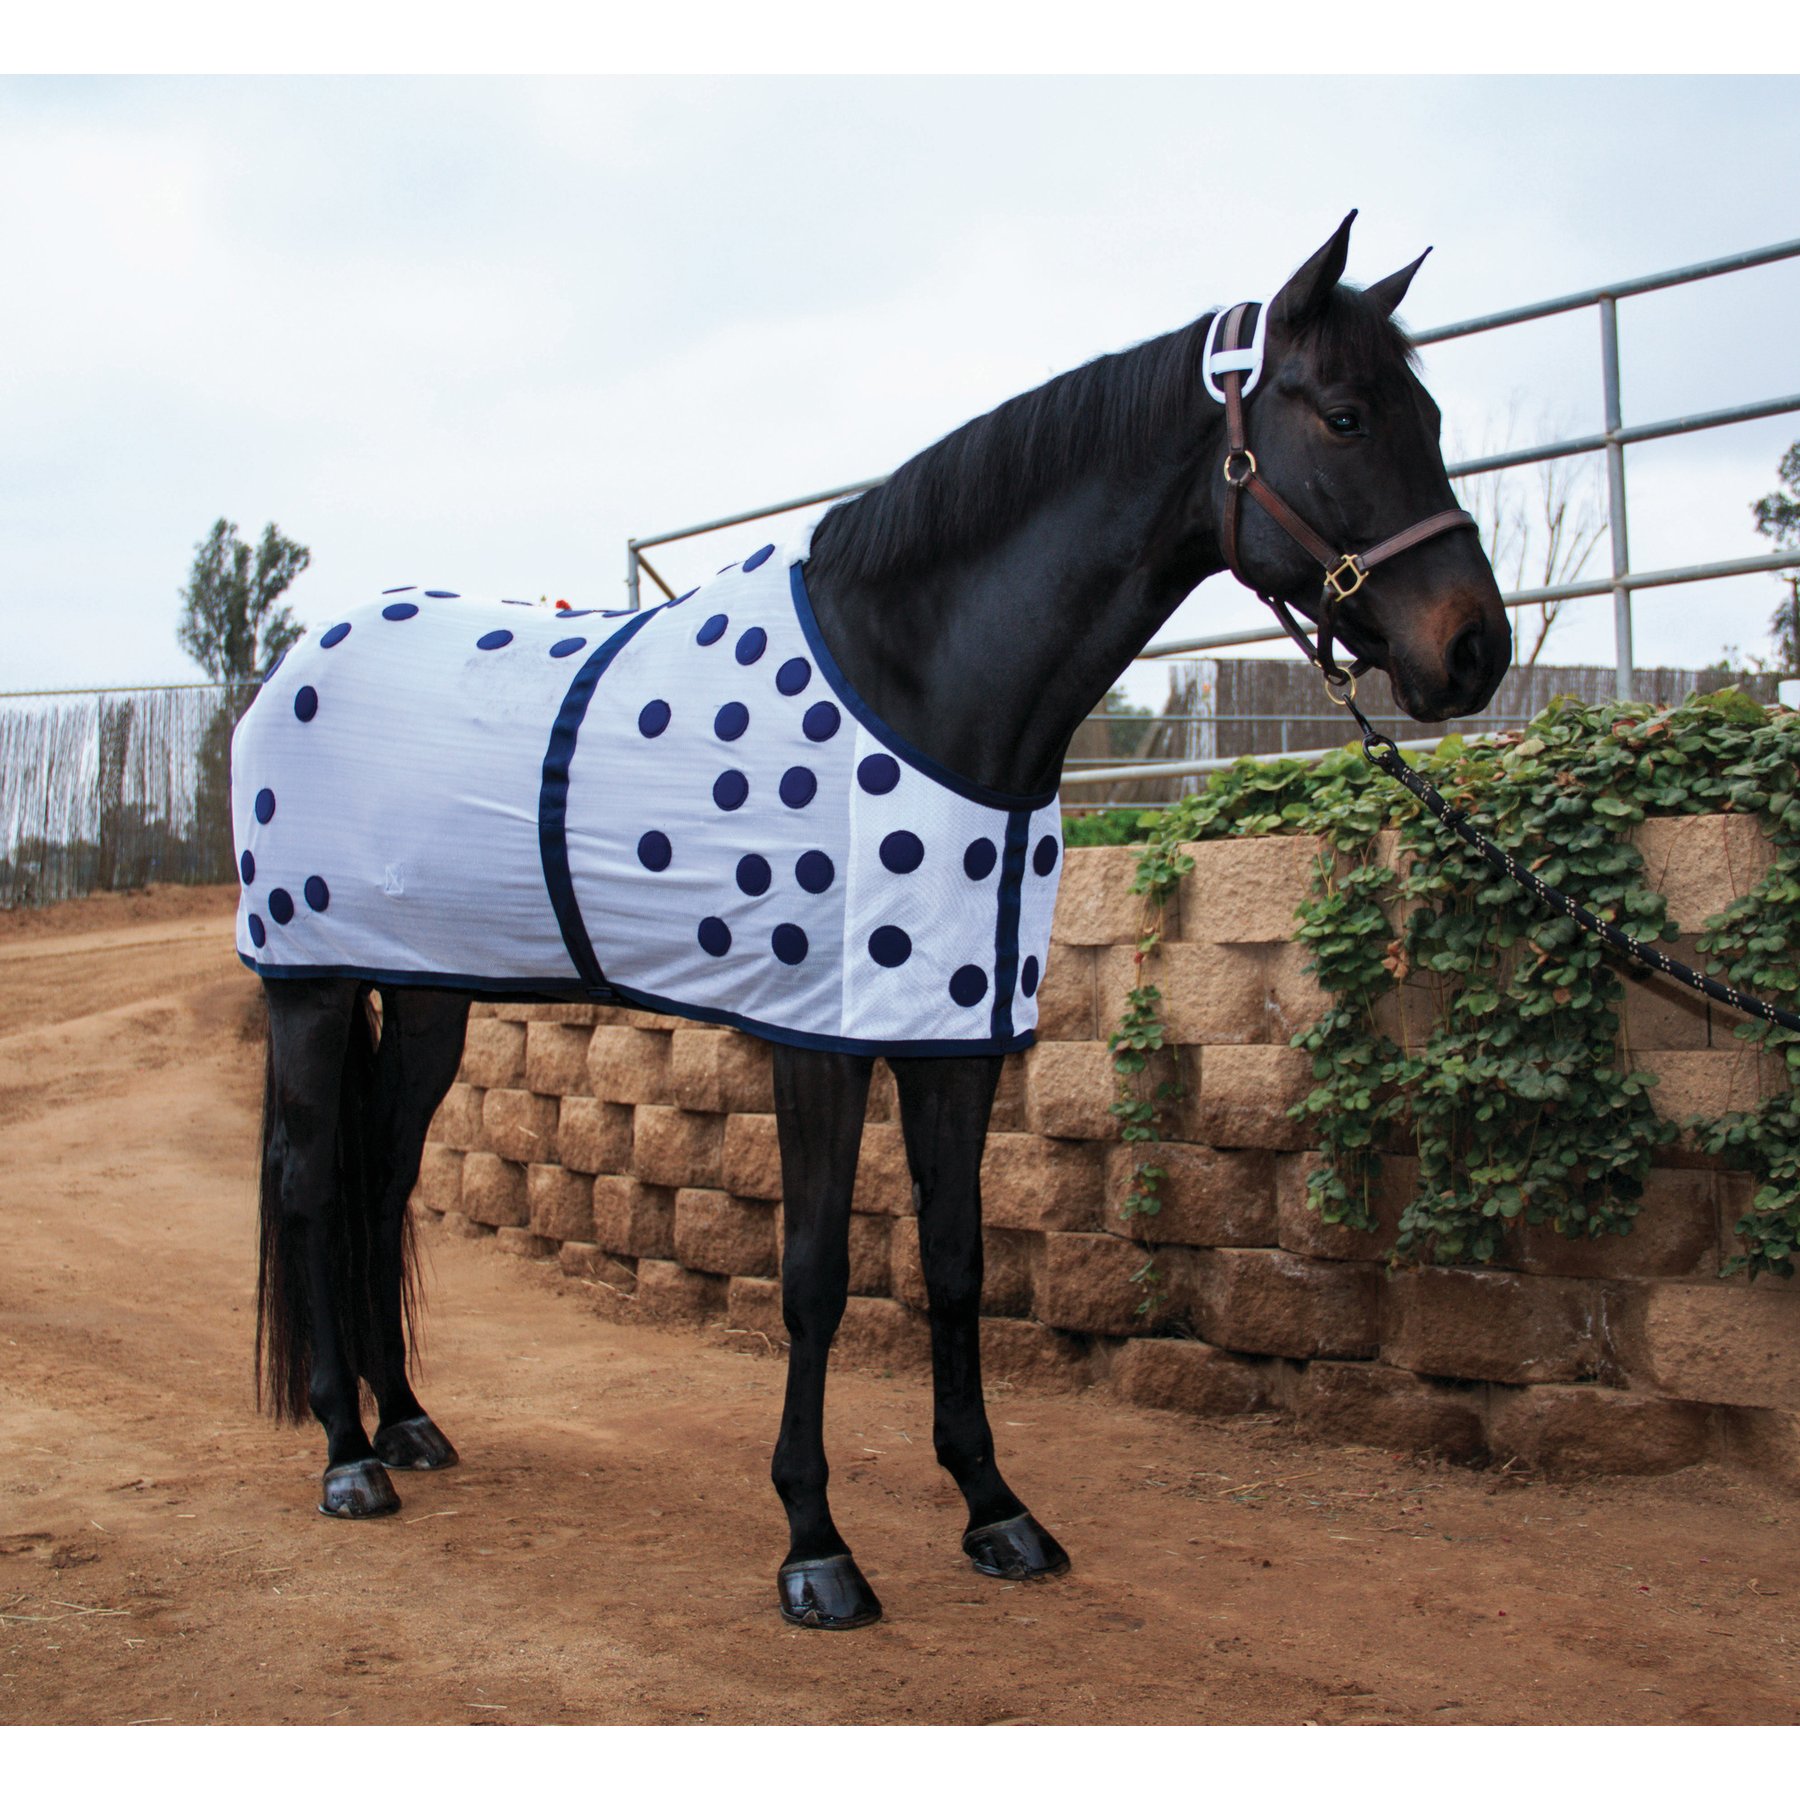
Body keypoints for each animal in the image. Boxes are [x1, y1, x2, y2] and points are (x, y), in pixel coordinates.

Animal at [238, 212, 1511, 1631]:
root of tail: (292, 665)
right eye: (1345, 417)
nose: (1475, 650)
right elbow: (813, 1278)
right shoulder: (820, 1042)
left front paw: (996, 1510)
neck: (920, 685)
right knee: (307, 1183)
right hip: (307, 984)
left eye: (1429, 413)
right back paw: (344, 1455)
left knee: (382, 1176)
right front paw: (816, 1545)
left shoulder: (955, 1042)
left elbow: (956, 1261)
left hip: (427, 995)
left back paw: (405, 1422)